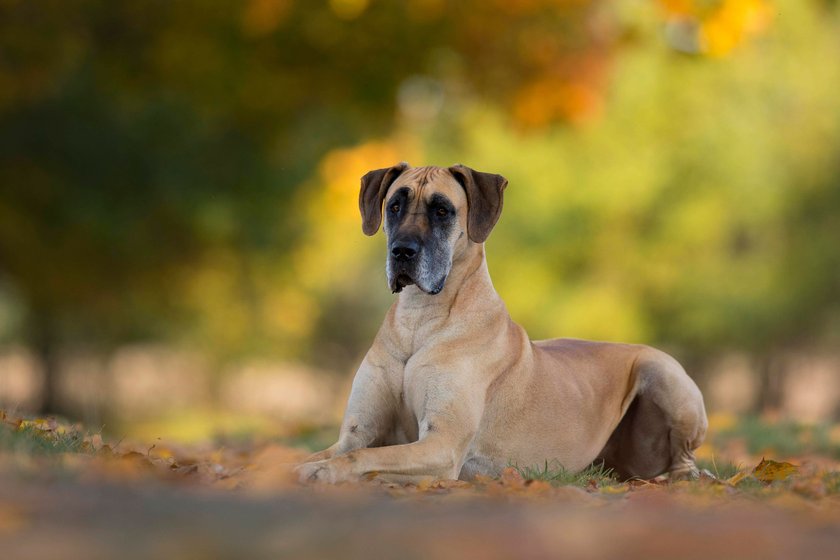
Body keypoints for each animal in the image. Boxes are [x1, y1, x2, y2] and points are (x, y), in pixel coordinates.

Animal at [298, 164, 704, 484]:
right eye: (394, 206)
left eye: (442, 210)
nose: (402, 251)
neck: (420, 319)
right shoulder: (358, 432)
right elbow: (329, 451)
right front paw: (302, 465)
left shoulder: (441, 445)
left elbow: (364, 456)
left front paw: (323, 472)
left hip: (663, 372)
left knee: (684, 461)